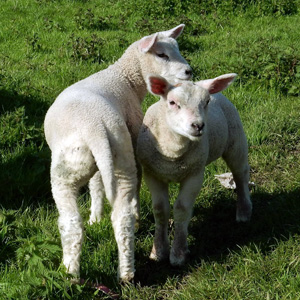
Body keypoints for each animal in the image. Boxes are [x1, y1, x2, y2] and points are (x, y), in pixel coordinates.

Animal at [43, 24, 191, 282]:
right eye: (162, 54)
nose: (189, 71)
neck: (125, 78)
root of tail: (96, 128)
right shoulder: (107, 159)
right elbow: (97, 185)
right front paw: (96, 217)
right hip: (119, 155)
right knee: (122, 217)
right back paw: (126, 273)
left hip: (68, 171)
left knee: (72, 224)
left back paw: (70, 273)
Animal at [137, 74, 252, 266]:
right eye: (172, 102)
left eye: (206, 102)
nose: (198, 126)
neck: (173, 152)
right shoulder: (152, 174)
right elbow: (160, 210)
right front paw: (158, 251)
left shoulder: (195, 175)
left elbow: (182, 209)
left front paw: (178, 254)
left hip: (236, 140)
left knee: (240, 174)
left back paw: (244, 212)